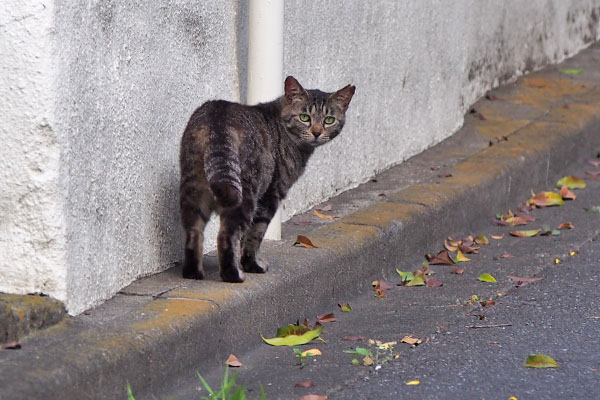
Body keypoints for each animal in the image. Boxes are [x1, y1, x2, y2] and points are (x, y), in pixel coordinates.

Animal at [178, 75, 356, 282]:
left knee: (193, 232)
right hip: (246, 193)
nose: (317, 132)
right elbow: (254, 235)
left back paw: (193, 272)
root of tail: (218, 117)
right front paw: (251, 265)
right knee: (227, 235)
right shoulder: (272, 195)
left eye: (329, 120)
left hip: (193, 188)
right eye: (305, 117)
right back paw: (233, 274)